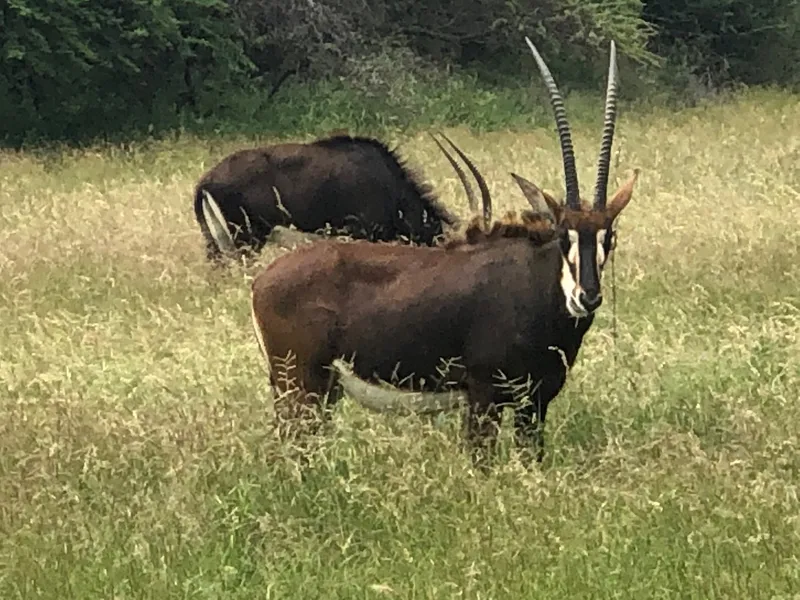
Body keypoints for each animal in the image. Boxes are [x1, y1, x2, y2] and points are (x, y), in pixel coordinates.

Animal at [249, 38, 638, 465]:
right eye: (563, 234)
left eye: (608, 236)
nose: (588, 296)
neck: (536, 286)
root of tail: (261, 282)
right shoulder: (483, 396)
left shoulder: (535, 403)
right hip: (300, 385)